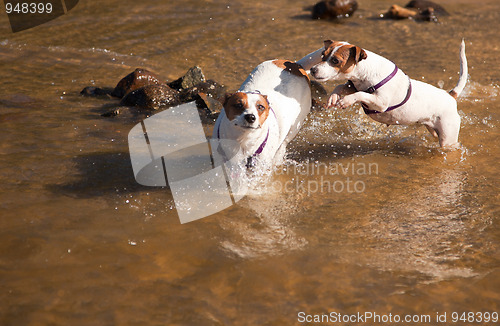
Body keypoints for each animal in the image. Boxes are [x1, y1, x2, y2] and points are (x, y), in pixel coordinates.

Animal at [310, 39, 466, 148]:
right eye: (323, 56)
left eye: (335, 60)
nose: (312, 69)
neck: (367, 73)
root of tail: (450, 96)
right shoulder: (353, 86)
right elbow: (340, 86)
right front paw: (333, 97)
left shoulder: (380, 103)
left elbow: (360, 95)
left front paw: (346, 100)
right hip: (433, 129)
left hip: (447, 137)